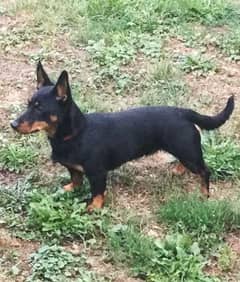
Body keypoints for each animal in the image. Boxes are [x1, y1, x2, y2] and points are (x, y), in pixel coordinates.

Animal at [11, 62, 234, 212]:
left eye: (40, 108)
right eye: (29, 104)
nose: (12, 124)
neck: (76, 133)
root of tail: (183, 112)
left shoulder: (97, 174)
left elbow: (97, 192)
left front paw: (94, 207)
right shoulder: (74, 169)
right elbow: (75, 180)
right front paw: (68, 189)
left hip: (189, 153)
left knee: (205, 171)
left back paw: (204, 194)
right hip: (184, 152)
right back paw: (178, 170)